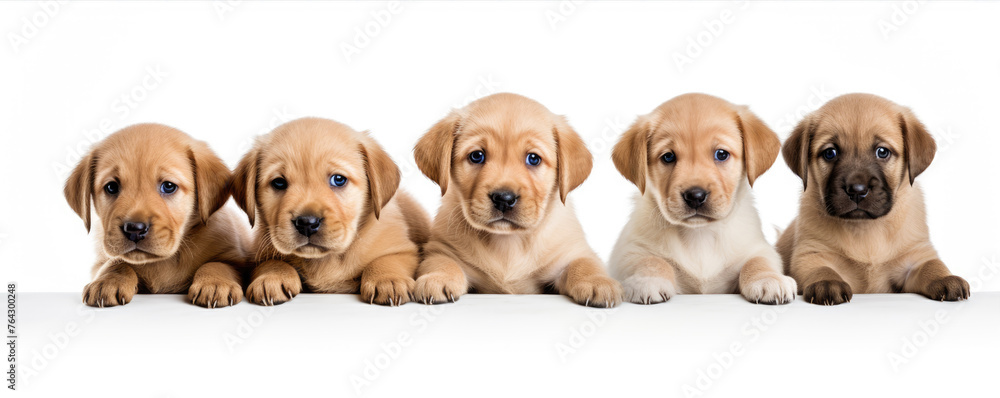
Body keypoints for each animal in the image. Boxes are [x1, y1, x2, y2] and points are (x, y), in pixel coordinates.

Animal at [64, 123, 248, 308]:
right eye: (111, 187)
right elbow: (116, 263)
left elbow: (217, 264)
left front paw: (215, 283)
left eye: (168, 186)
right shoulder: (100, 262)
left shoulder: (233, 256)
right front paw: (107, 282)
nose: (135, 229)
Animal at [233, 116, 430, 306]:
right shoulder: (258, 255)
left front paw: (387, 279)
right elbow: (270, 263)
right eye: (279, 182)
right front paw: (271, 278)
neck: (325, 260)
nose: (307, 223)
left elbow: (387, 259)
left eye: (338, 179)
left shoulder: (404, 250)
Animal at [410, 93, 620, 308]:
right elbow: (441, 262)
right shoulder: (443, 250)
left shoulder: (572, 252)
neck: (508, 242)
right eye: (477, 156)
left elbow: (585, 263)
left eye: (533, 158)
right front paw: (438, 278)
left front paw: (597, 282)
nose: (504, 198)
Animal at [608, 94, 796, 304]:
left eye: (721, 154)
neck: (699, 235)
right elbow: (651, 259)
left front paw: (769, 279)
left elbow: (758, 261)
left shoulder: (759, 248)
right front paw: (649, 280)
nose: (695, 196)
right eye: (668, 157)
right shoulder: (629, 251)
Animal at [772, 93, 968, 304]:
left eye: (882, 152)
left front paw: (946, 278)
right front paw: (826, 282)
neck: (865, 229)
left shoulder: (914, 257)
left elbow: (932, 265)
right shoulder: (811, 253)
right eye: (830, 153)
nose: (857, 190)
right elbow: (820, 268)